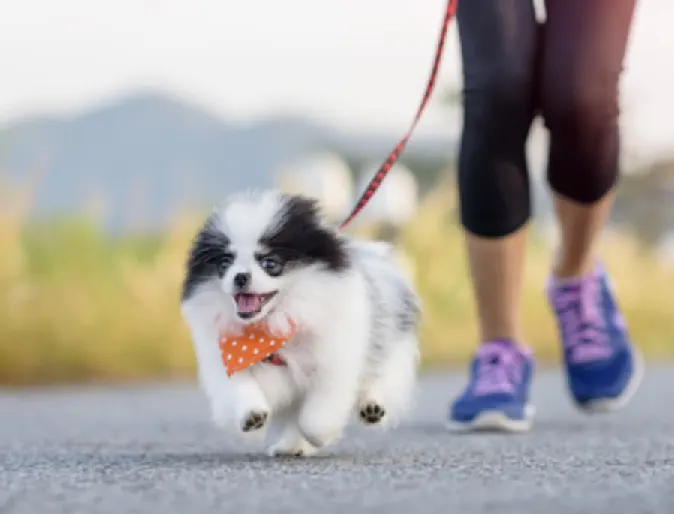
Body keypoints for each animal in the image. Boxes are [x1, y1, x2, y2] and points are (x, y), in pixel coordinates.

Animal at [178, 190, 420, 454]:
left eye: (270, 263)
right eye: (224, 264)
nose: (240, 276)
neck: (273, 325)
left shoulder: (333, 360)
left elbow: (316, 416)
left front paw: (321, 437)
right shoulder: (227, 358)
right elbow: (239, 389)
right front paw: (251, 415)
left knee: (381, 375)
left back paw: (372, 407)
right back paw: (291, 447)